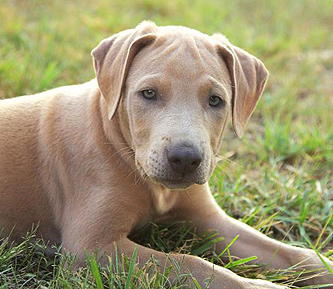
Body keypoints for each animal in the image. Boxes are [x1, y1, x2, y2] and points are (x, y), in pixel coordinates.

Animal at [0, 21, 330, 286]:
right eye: (148, 93)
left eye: (216, 100)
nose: (185, 158)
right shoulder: (91, 249)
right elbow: (190, 263)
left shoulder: (210, 220)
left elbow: (291, 254)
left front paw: (324, 268)